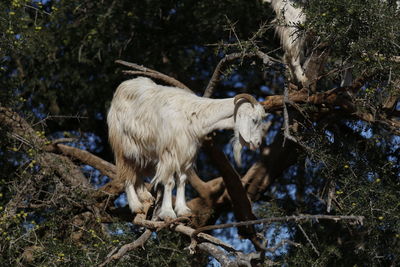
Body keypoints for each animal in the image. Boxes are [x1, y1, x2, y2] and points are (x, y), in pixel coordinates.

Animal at [108, 77, 268, 220]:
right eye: (254, 120)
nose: (258, 143)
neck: (193, 115)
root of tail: (122, 86)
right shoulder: (169, 152)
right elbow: (169, 181)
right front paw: (168, 213)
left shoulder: (186, 152)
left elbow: (182, 180)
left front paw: (183, 210)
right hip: (122, 144)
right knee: (126, 173)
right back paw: (136, 206)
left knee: (136, 170)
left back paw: (145, 196)